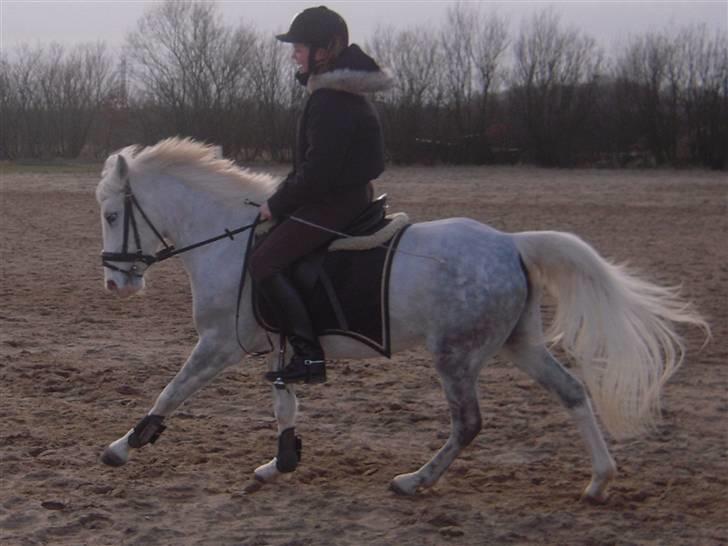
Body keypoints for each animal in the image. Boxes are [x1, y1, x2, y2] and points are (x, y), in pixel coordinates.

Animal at [96, 137, 708, 502]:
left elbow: (173, 390)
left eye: (110, 215)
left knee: (468, 423)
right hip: (519, 343)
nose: (115, 284)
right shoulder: (280, 344)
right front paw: (281, 462)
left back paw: (415, 480)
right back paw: (599, 480)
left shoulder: (221, 342)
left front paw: (124, 446)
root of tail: (512, 243)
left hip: (456, 356)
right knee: (573, 392)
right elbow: (284, 402)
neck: (228, 238)